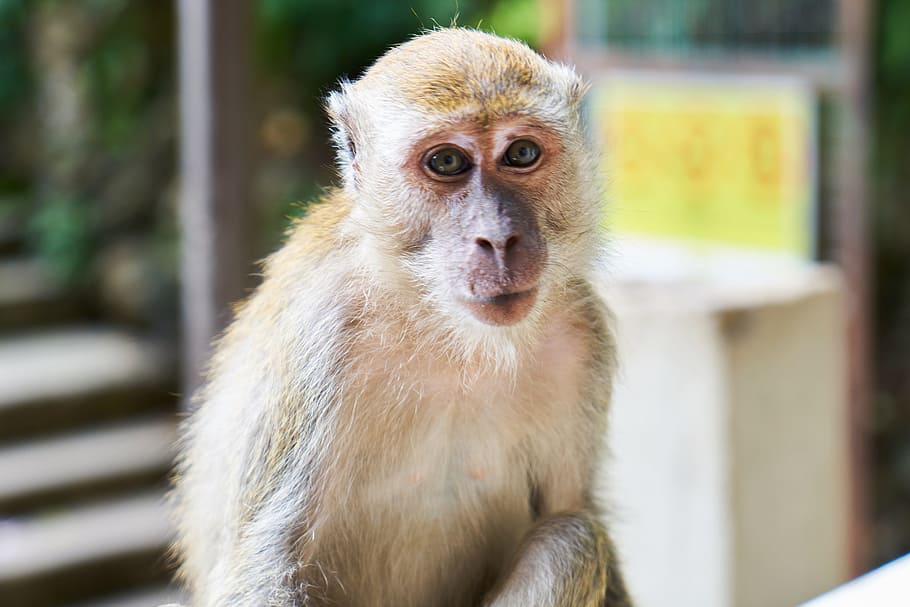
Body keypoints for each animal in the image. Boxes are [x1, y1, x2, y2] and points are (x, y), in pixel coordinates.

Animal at [171, 28, 634, 607]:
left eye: (522, 153)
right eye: (447, 163)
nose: (499, 238)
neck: (445, 329)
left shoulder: (580, 334)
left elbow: (571, 505)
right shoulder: (321, 335)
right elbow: (265, 565)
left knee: (571, 536)